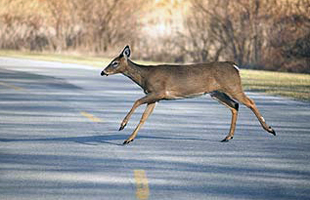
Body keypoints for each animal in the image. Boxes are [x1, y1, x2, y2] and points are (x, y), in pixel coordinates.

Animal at [101, 45, 276, 145]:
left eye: (114, 63)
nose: (103, 72)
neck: (145, 76)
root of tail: (234, 66)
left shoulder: (158, 91)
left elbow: (136, 101)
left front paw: (122, 125)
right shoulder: (156, 98)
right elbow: (144, 118)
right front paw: (128, 139)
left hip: (232, 86)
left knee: (250, 102)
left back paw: (270, 129)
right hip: (216, 92)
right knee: (235, 105)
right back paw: (228, 137)